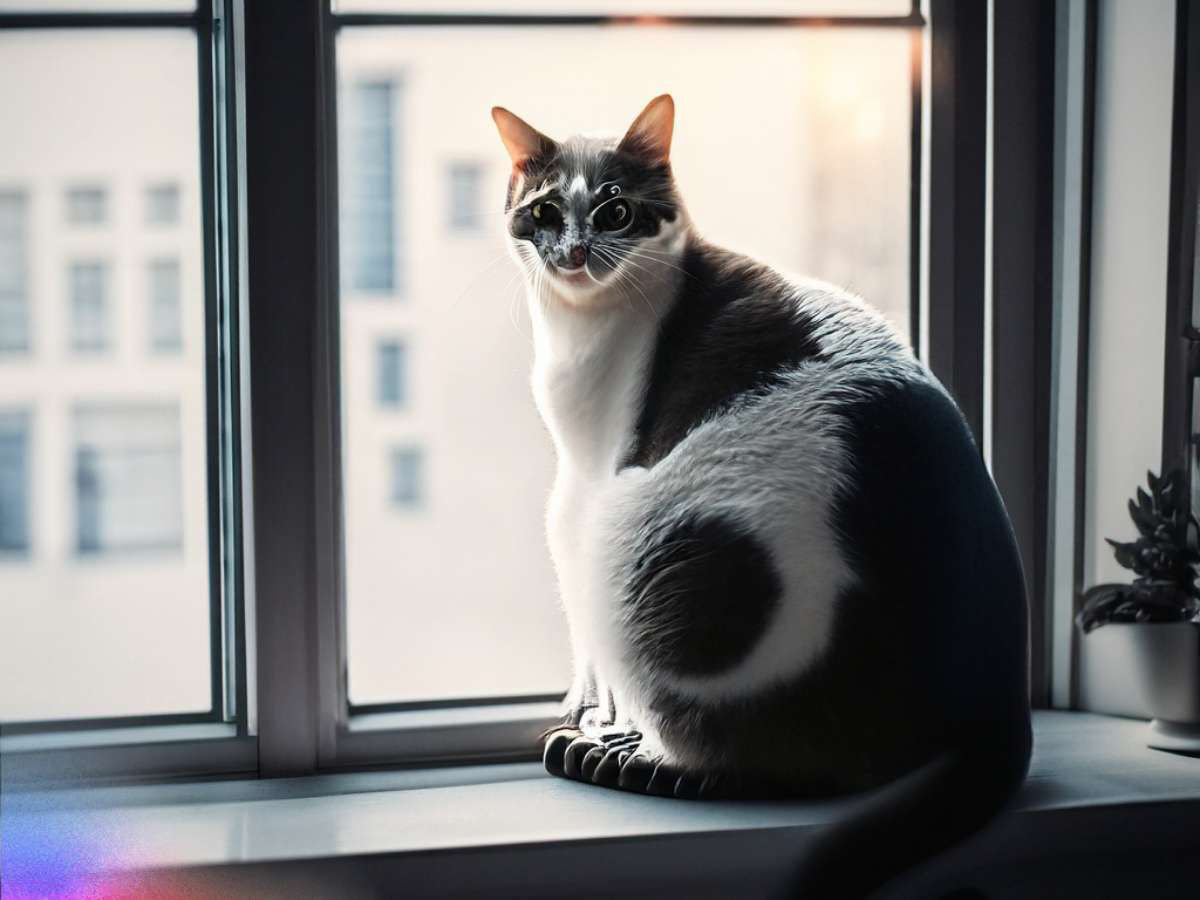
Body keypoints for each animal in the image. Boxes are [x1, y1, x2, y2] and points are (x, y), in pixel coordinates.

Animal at [492, 95, 1036, 897]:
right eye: (546, 210)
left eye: (616, 210)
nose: (574, 252)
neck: (580, 327)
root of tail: (1001, 699)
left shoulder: (582, 486)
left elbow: (586, 645)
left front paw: (594, 719)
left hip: (630, 527)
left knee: (746, 763)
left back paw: (636, 757)